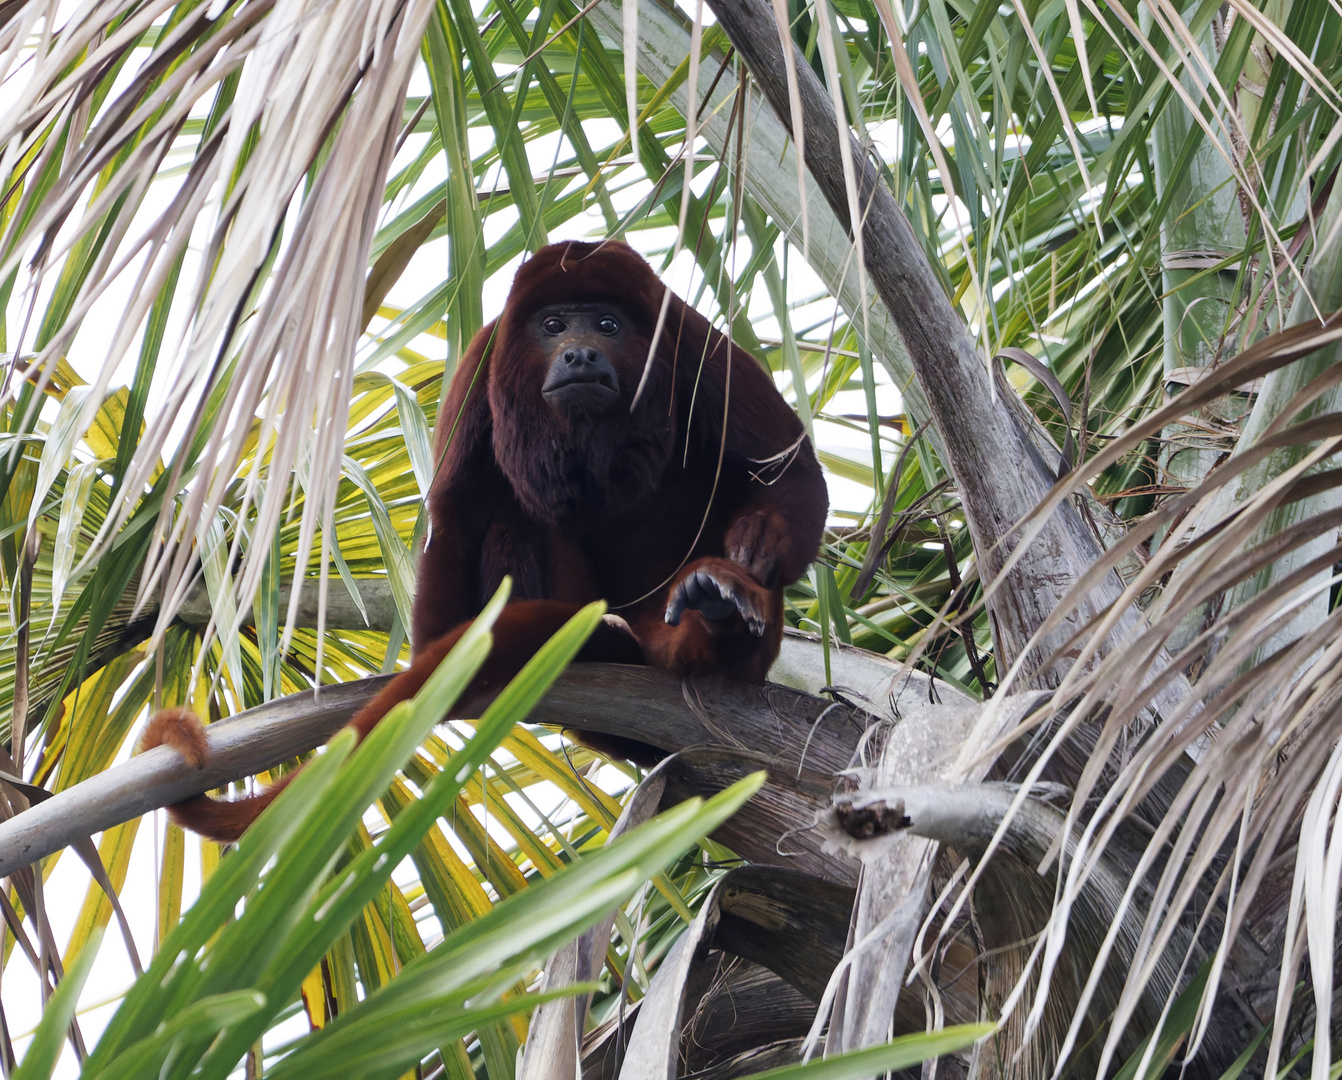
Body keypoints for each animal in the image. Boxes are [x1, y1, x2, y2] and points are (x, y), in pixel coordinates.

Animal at [141, 242, 821, 842]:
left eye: (608, 325)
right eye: (553, 326)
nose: (579, 355)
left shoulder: (692, 336)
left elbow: (786, 466)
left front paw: (754, 544)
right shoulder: (486, 352)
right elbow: (458, 511)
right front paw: (442, 657)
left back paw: (718, 613)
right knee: (509, 520)